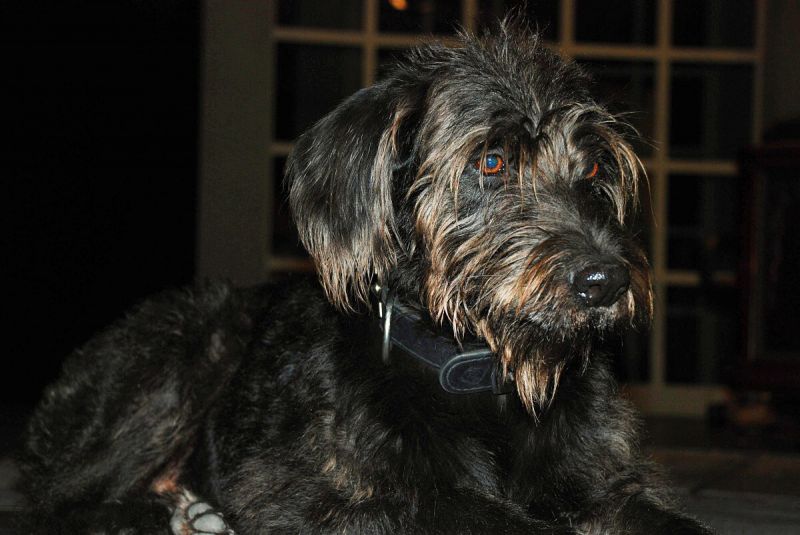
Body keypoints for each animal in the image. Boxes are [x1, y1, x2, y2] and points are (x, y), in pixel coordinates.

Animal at [20, 22, 713, 534]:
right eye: (492, 161)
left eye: (595, 165)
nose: (606, 281)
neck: (479, 374)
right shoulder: (318, 497)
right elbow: (484, 515)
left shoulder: (607, 483)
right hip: (187, 348)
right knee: (53, 502)